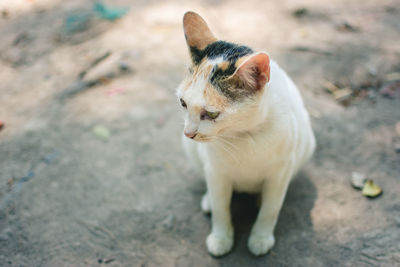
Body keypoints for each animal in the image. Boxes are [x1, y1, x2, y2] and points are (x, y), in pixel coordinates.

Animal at [176, 11, 316, 258]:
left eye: (211, 114)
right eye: (183, 103)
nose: (188, 133)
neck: (243, 136)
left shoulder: (280, 173)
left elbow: (271, 210)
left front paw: (260, 237)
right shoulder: (217, 172)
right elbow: (221, 209)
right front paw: (221, 237)